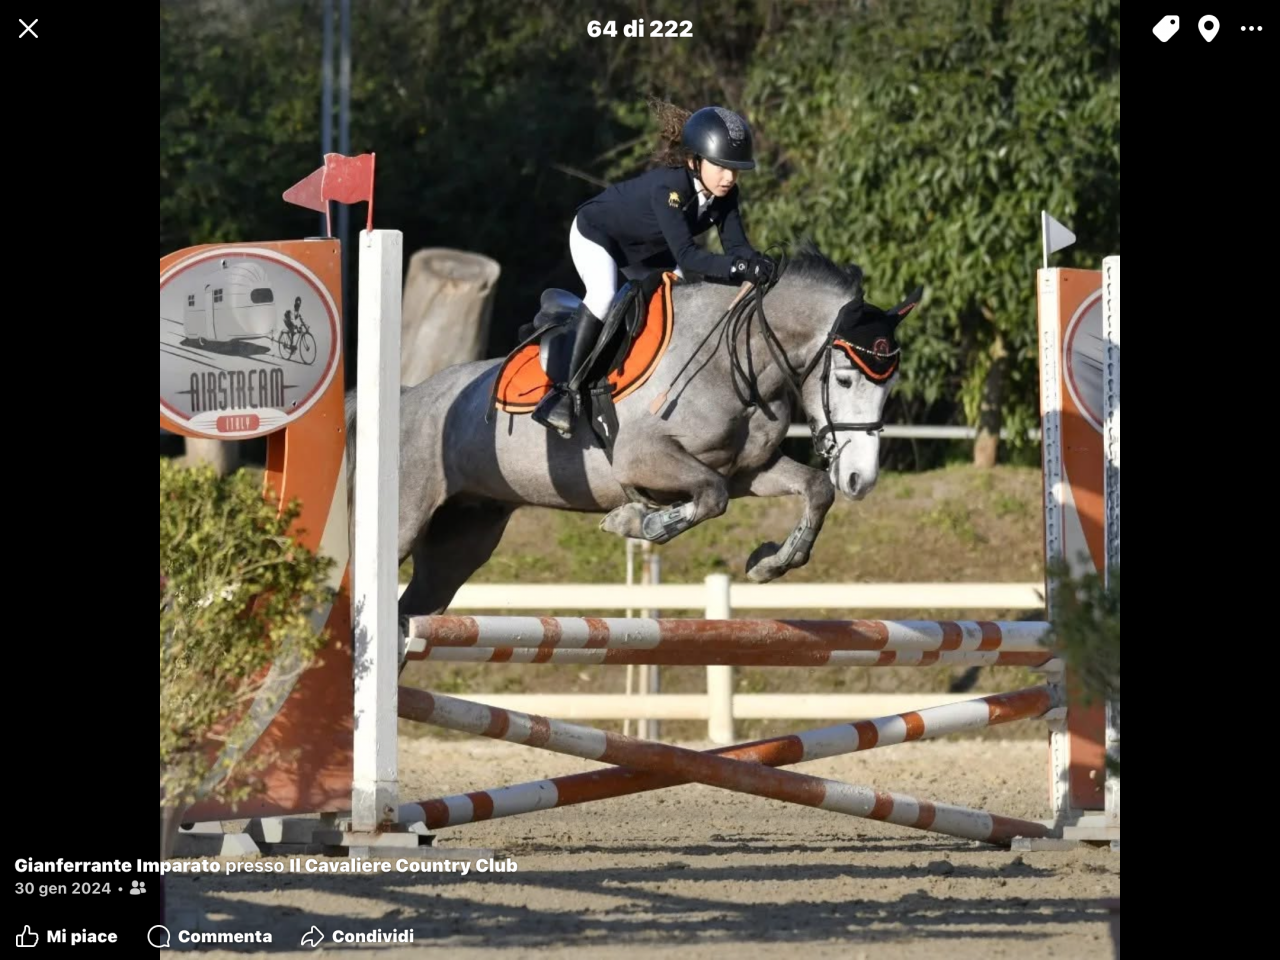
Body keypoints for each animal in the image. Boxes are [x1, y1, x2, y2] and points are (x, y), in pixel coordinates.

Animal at [344, 241, 920, 624]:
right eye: (843, 379)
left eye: (891, 386)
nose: (861, 479)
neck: (735, 362)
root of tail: (407, 396)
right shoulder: (647, 460)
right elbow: (708, 497)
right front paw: (634, 521)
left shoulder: (746, 471)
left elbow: (811, 489)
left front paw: (769, 563)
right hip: (402, 524)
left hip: (462, 537)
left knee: (414, 606)